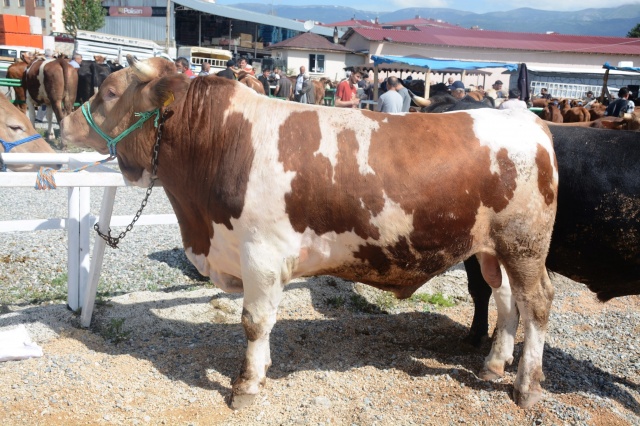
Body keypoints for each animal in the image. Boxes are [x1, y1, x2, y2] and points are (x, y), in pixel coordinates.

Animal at [61, 55, 560, 410]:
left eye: (109, 91)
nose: (65, 122)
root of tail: (525, 118)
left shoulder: (262, 255)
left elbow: (254, 321)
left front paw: (246, 385)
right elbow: (260, 325)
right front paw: (260, 370)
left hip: (524, 243)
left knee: (536, 303)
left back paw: (526, 387)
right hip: (491, 249)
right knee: (506, 298)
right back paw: (494, 364)